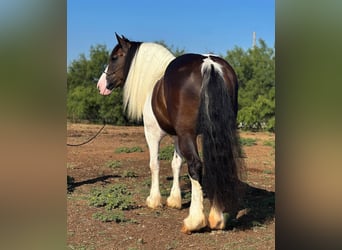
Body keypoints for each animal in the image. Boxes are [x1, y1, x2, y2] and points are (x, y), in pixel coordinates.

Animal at [96, 34, 243, 233]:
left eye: (114, 57)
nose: (100, 85)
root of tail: (209, 64)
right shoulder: (177, 136)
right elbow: (176, 164)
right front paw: (174, 200)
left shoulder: (153, 134)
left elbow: (155, 164)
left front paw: (154, 200)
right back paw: (217, 218)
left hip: (188, 135)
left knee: (196, 166)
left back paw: (195, 221)